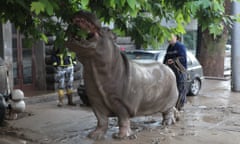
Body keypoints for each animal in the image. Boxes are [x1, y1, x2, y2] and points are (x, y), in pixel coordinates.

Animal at [66, 10, 179, 140]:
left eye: (107, 29)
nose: (83, 11)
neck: (93, 65)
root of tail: (169, 69)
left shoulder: (121, 103)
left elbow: (123, 119)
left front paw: (120, 136)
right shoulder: (95, 101)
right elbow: (101, 120)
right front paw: (94, 135)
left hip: (169, 101)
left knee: (168, 111)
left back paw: (166, 123)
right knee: (173, 109)